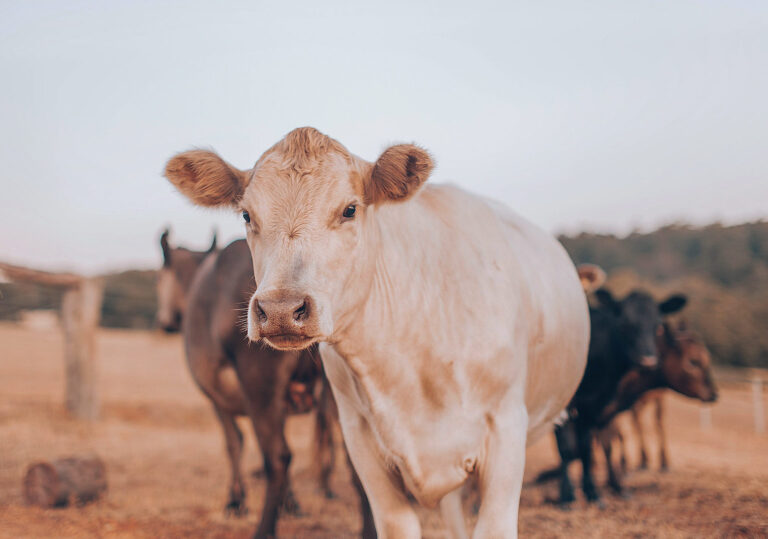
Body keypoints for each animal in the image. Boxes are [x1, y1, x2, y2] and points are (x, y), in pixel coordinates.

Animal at [154, 231, 376, 539]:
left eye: (158, 280)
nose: (165, 321)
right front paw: (291, 502)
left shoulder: (217, 397)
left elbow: (234, 443)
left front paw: (236, 501)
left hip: (259, 380)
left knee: (278, 457)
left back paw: (264, 528)